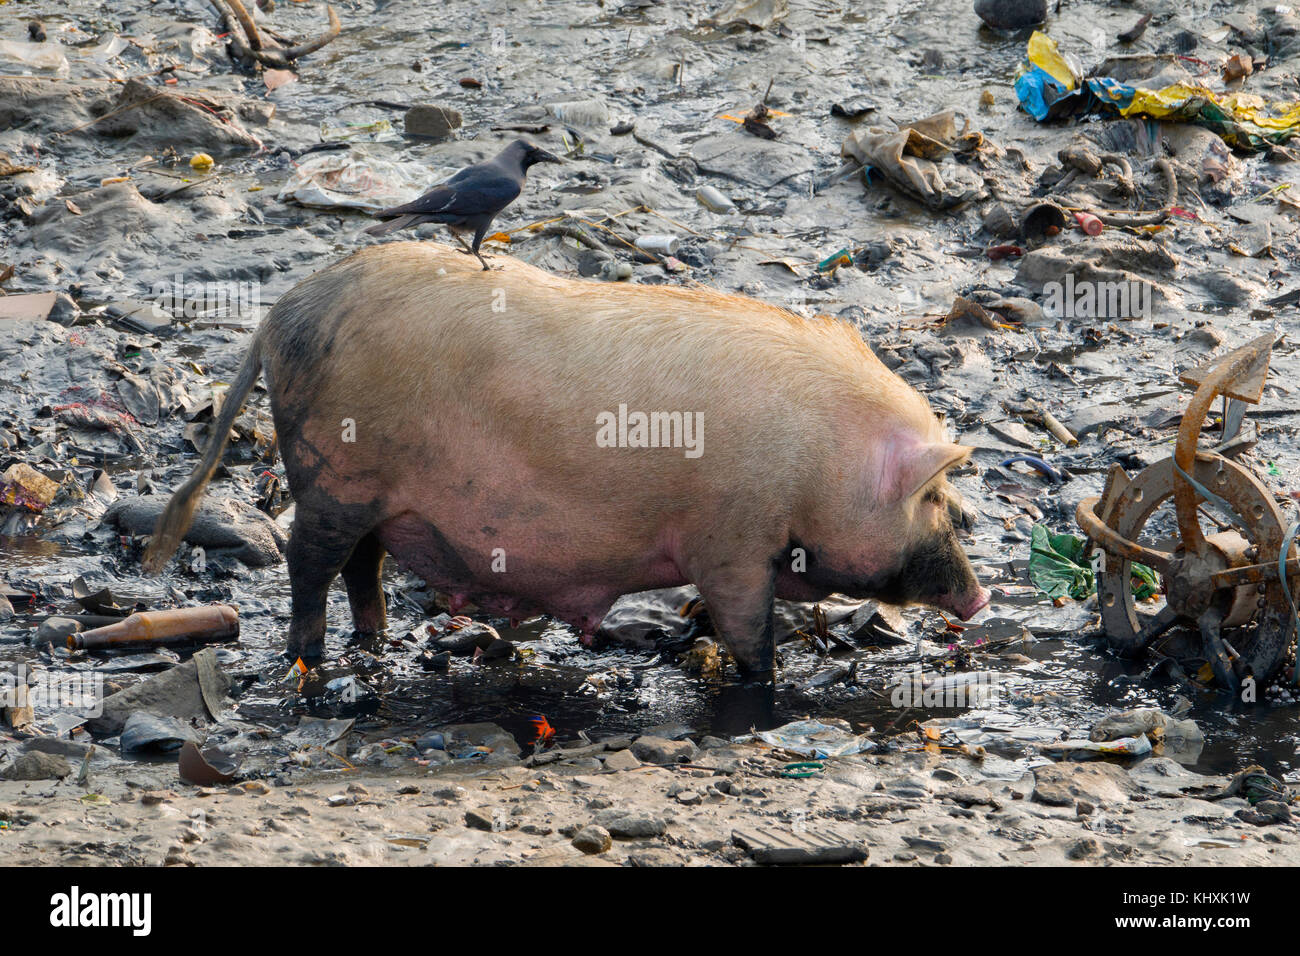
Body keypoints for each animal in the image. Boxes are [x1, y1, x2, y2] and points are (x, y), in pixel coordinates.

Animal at [144, 243, 982, 676]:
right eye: (935, 499)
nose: (979, 599)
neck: (820, 460)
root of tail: (281, 315)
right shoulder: (732, 540)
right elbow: (748, 628)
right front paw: (760, 685)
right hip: (336, 477)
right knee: (310, 562)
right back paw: (311, 659)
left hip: (374, 496)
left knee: (363, 564)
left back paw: (374, 642)